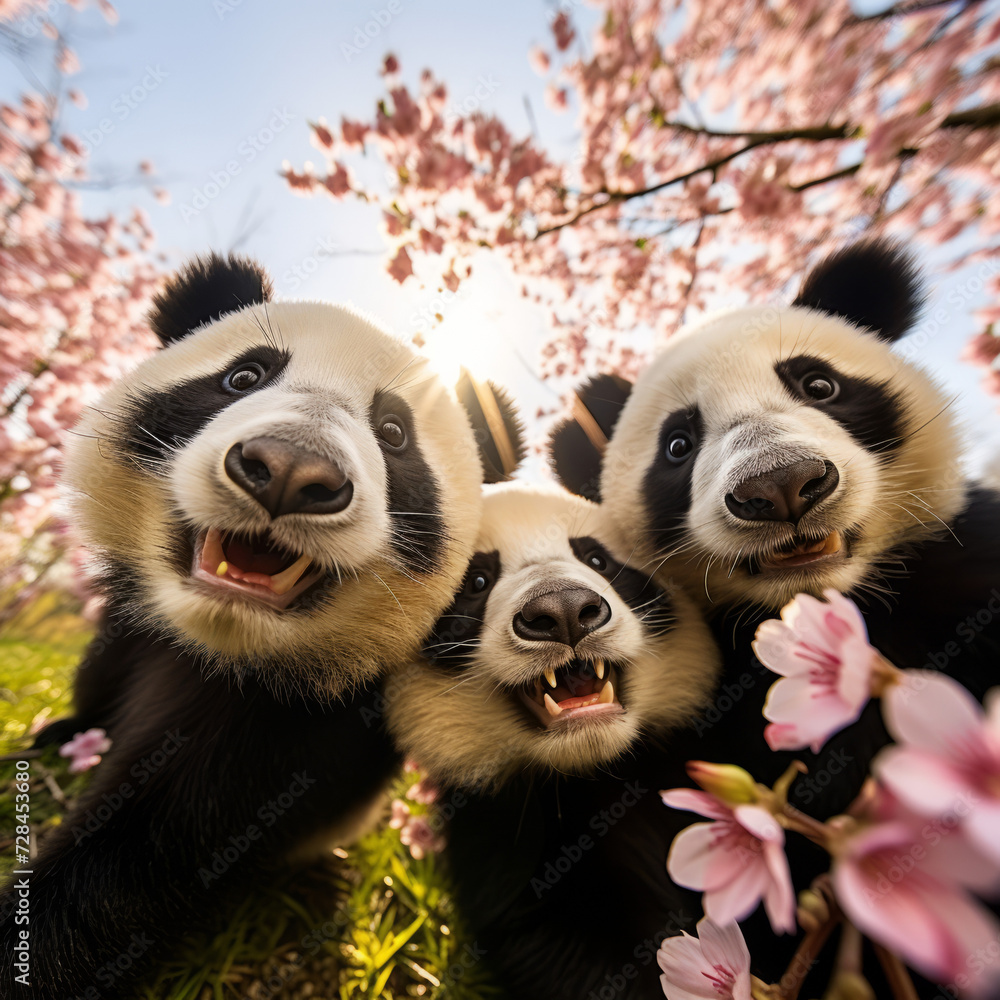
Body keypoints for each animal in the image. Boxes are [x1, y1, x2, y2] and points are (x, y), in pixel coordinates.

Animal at [0, 254, 524, 1000]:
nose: (288, 470)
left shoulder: (300, 719)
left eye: (394, 433)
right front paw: (62, 734)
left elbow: (159, 845)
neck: (216, 640)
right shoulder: (137, 632)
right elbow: (105, 671)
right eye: (245, 376)